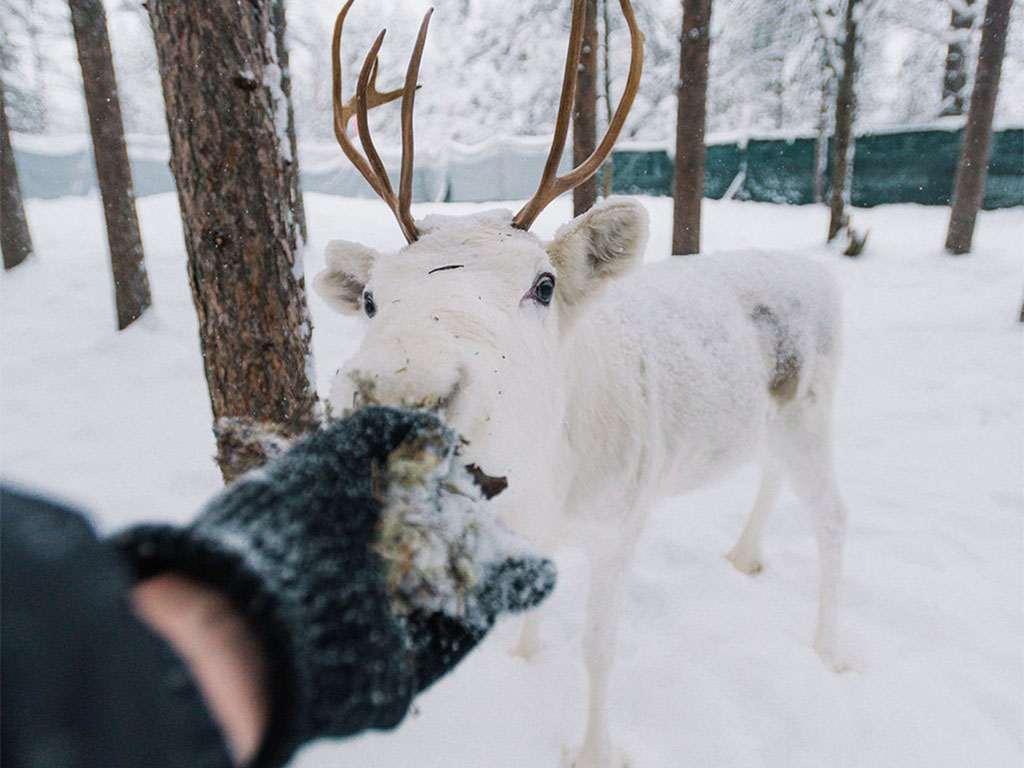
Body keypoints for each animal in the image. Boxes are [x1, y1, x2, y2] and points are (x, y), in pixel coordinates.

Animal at [314, 1, 848, 766]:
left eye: (543, 285)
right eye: (368, 299)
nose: (399, 390)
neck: (545, 476)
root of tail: (820, 271)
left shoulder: (619, 523)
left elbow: (599, 652)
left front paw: (595, 749)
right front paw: (523, 657)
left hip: (813, 410)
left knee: (833, 516)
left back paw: (829, 650)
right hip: (769, 420)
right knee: (769, 472)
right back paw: (745, 555)